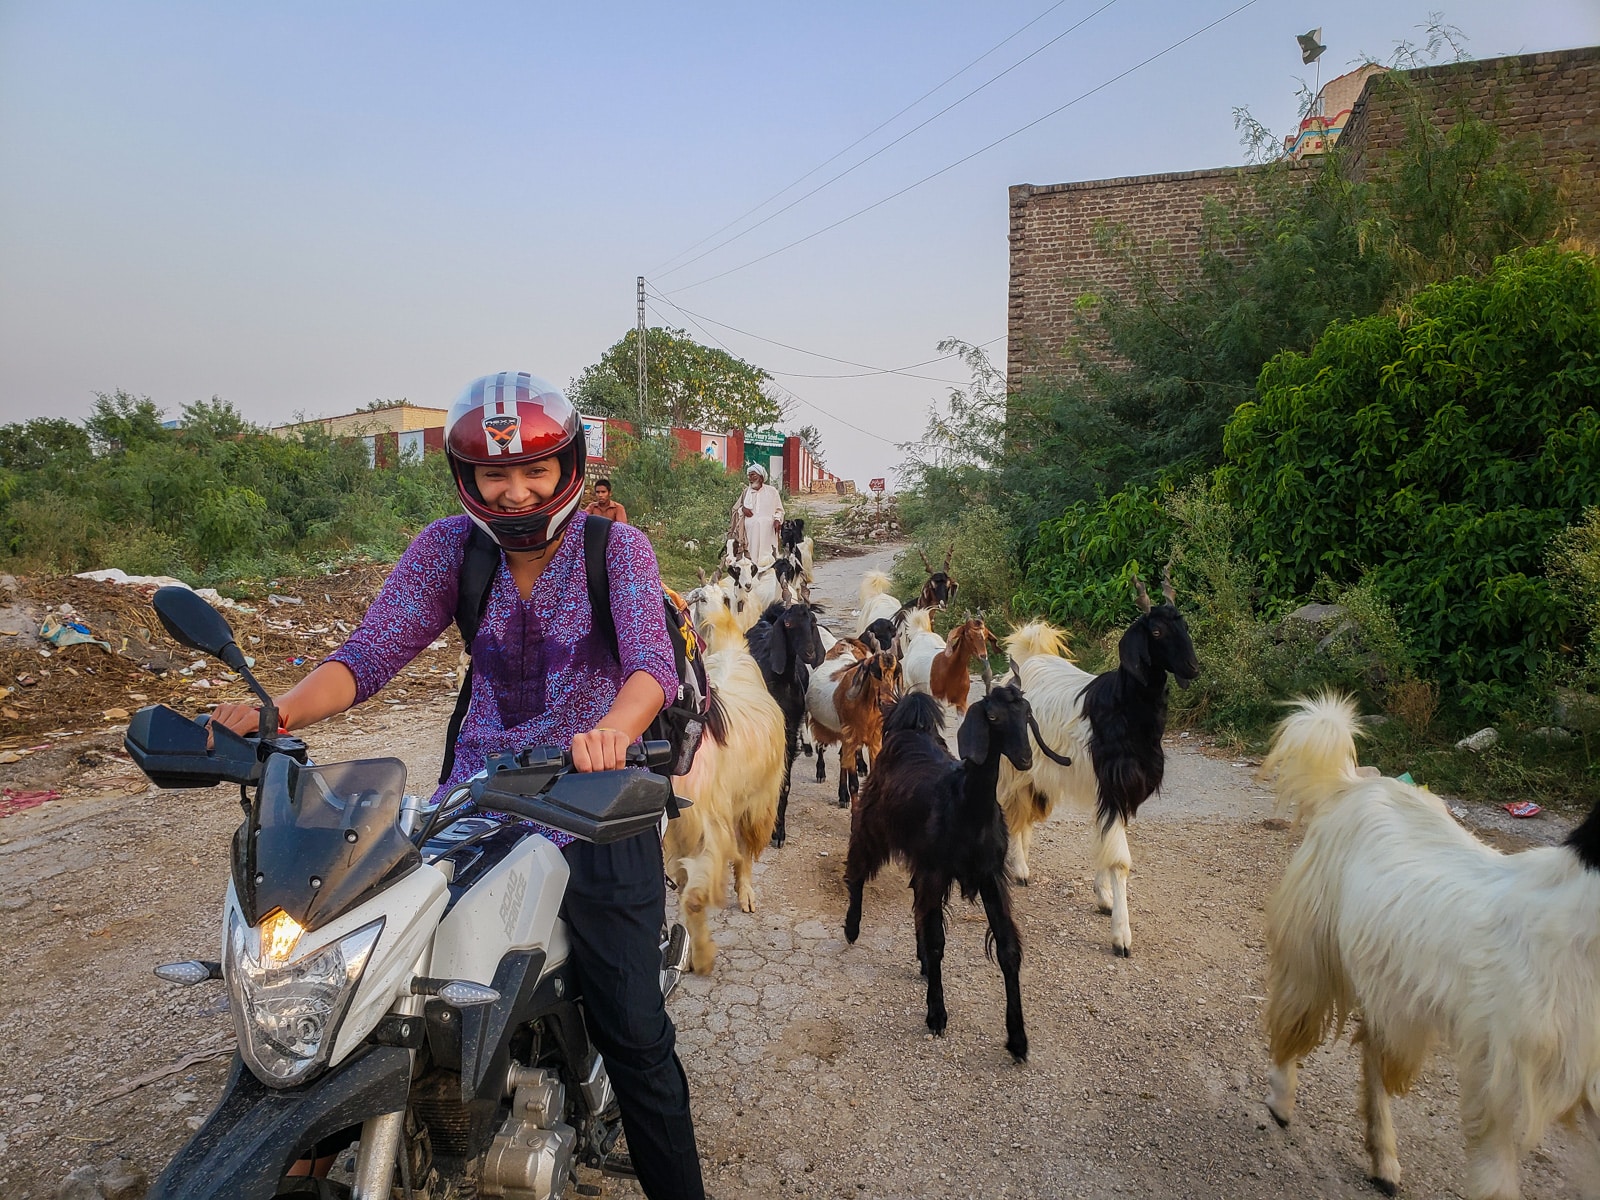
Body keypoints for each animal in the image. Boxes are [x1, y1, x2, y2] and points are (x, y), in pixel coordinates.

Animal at [748, 598, 825, 844]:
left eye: (813, 621)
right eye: (789, 624)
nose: (810, 653)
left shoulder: (790, 729)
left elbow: (785, 782)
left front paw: (779, 830)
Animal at [838, 684, 1049, 1062]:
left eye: (1026, 714)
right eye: (992, 716)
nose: (1025, 759)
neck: (966, 805)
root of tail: (908, 728)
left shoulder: (989, 876)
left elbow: (1008, 948)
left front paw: (1018, 1039)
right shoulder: (936, 870)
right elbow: (938, 941)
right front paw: (936, 1014)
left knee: (918, 907)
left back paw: (920, 960)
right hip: (873, 823)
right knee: (859, 871)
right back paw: (852, 927)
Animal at [1260, 694, 1600, 1200]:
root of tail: (1353, 785)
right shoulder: (1503, 1080)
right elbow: (1495, 1173)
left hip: (1390, 981)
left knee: (1374, 1048)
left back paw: (1383, 1157)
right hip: (1313, 947)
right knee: (1297, 1016)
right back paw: (1283, 1100)